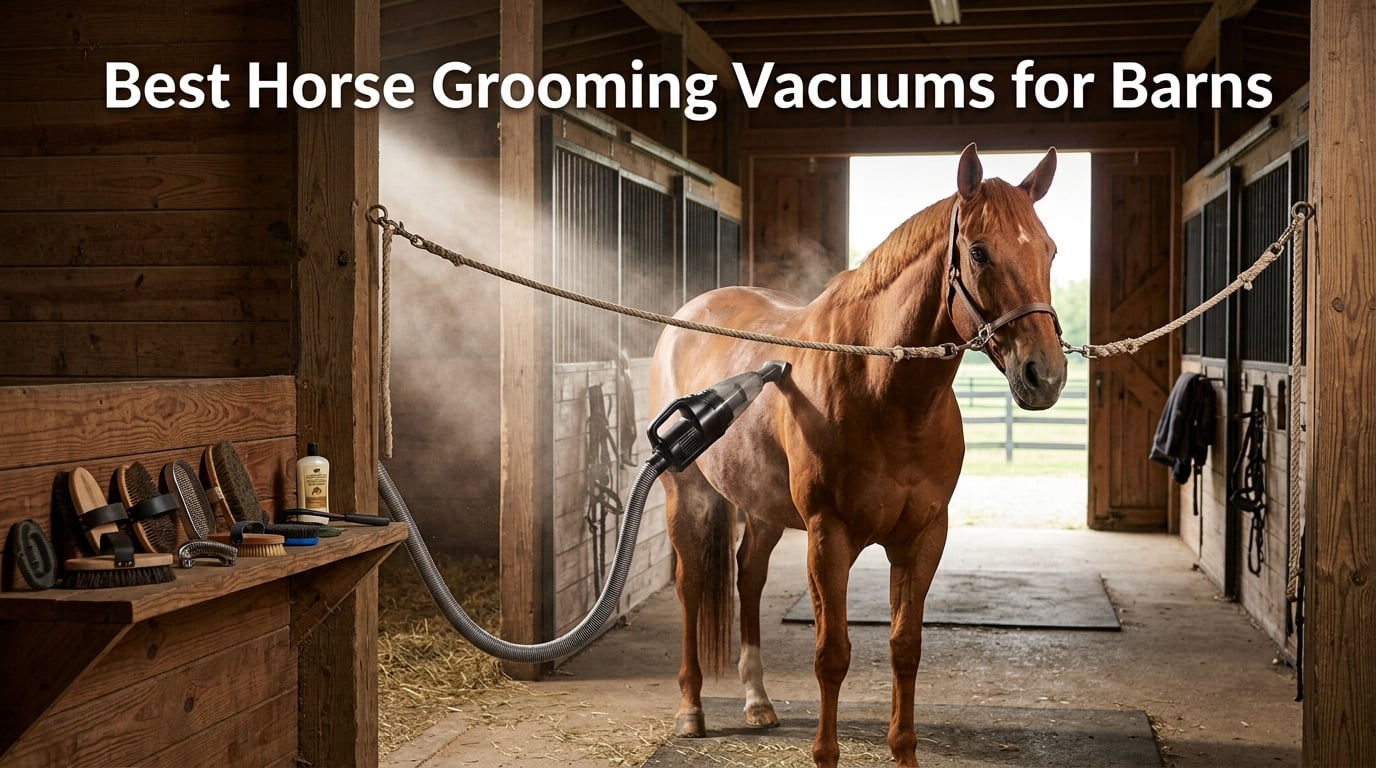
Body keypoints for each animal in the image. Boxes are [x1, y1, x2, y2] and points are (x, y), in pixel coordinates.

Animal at [647, 144, 1067, 767]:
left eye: (1049, 249)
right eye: (979, 251)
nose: (1047, 375)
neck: (883, 392)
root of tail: (689, 315)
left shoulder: (922, 537)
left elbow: (905, 646)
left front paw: (904, 751)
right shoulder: (829, 536)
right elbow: (832, 653)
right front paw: (825, 753)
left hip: (764, 510)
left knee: (749, 578)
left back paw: (756, 701)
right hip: (688, 495)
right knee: (691, 583)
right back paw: (691, 709)